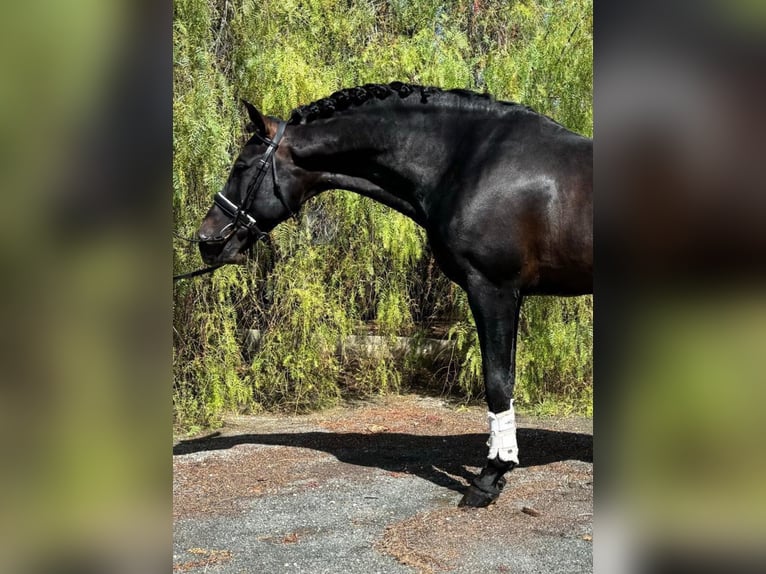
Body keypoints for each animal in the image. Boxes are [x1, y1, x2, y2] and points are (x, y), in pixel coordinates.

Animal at [194, 82, 592, 508]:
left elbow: (497, 382)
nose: (206, 240)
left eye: (242, 166)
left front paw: (490, 476)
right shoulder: (505, 294)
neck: (468, 161)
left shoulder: (493, 289)